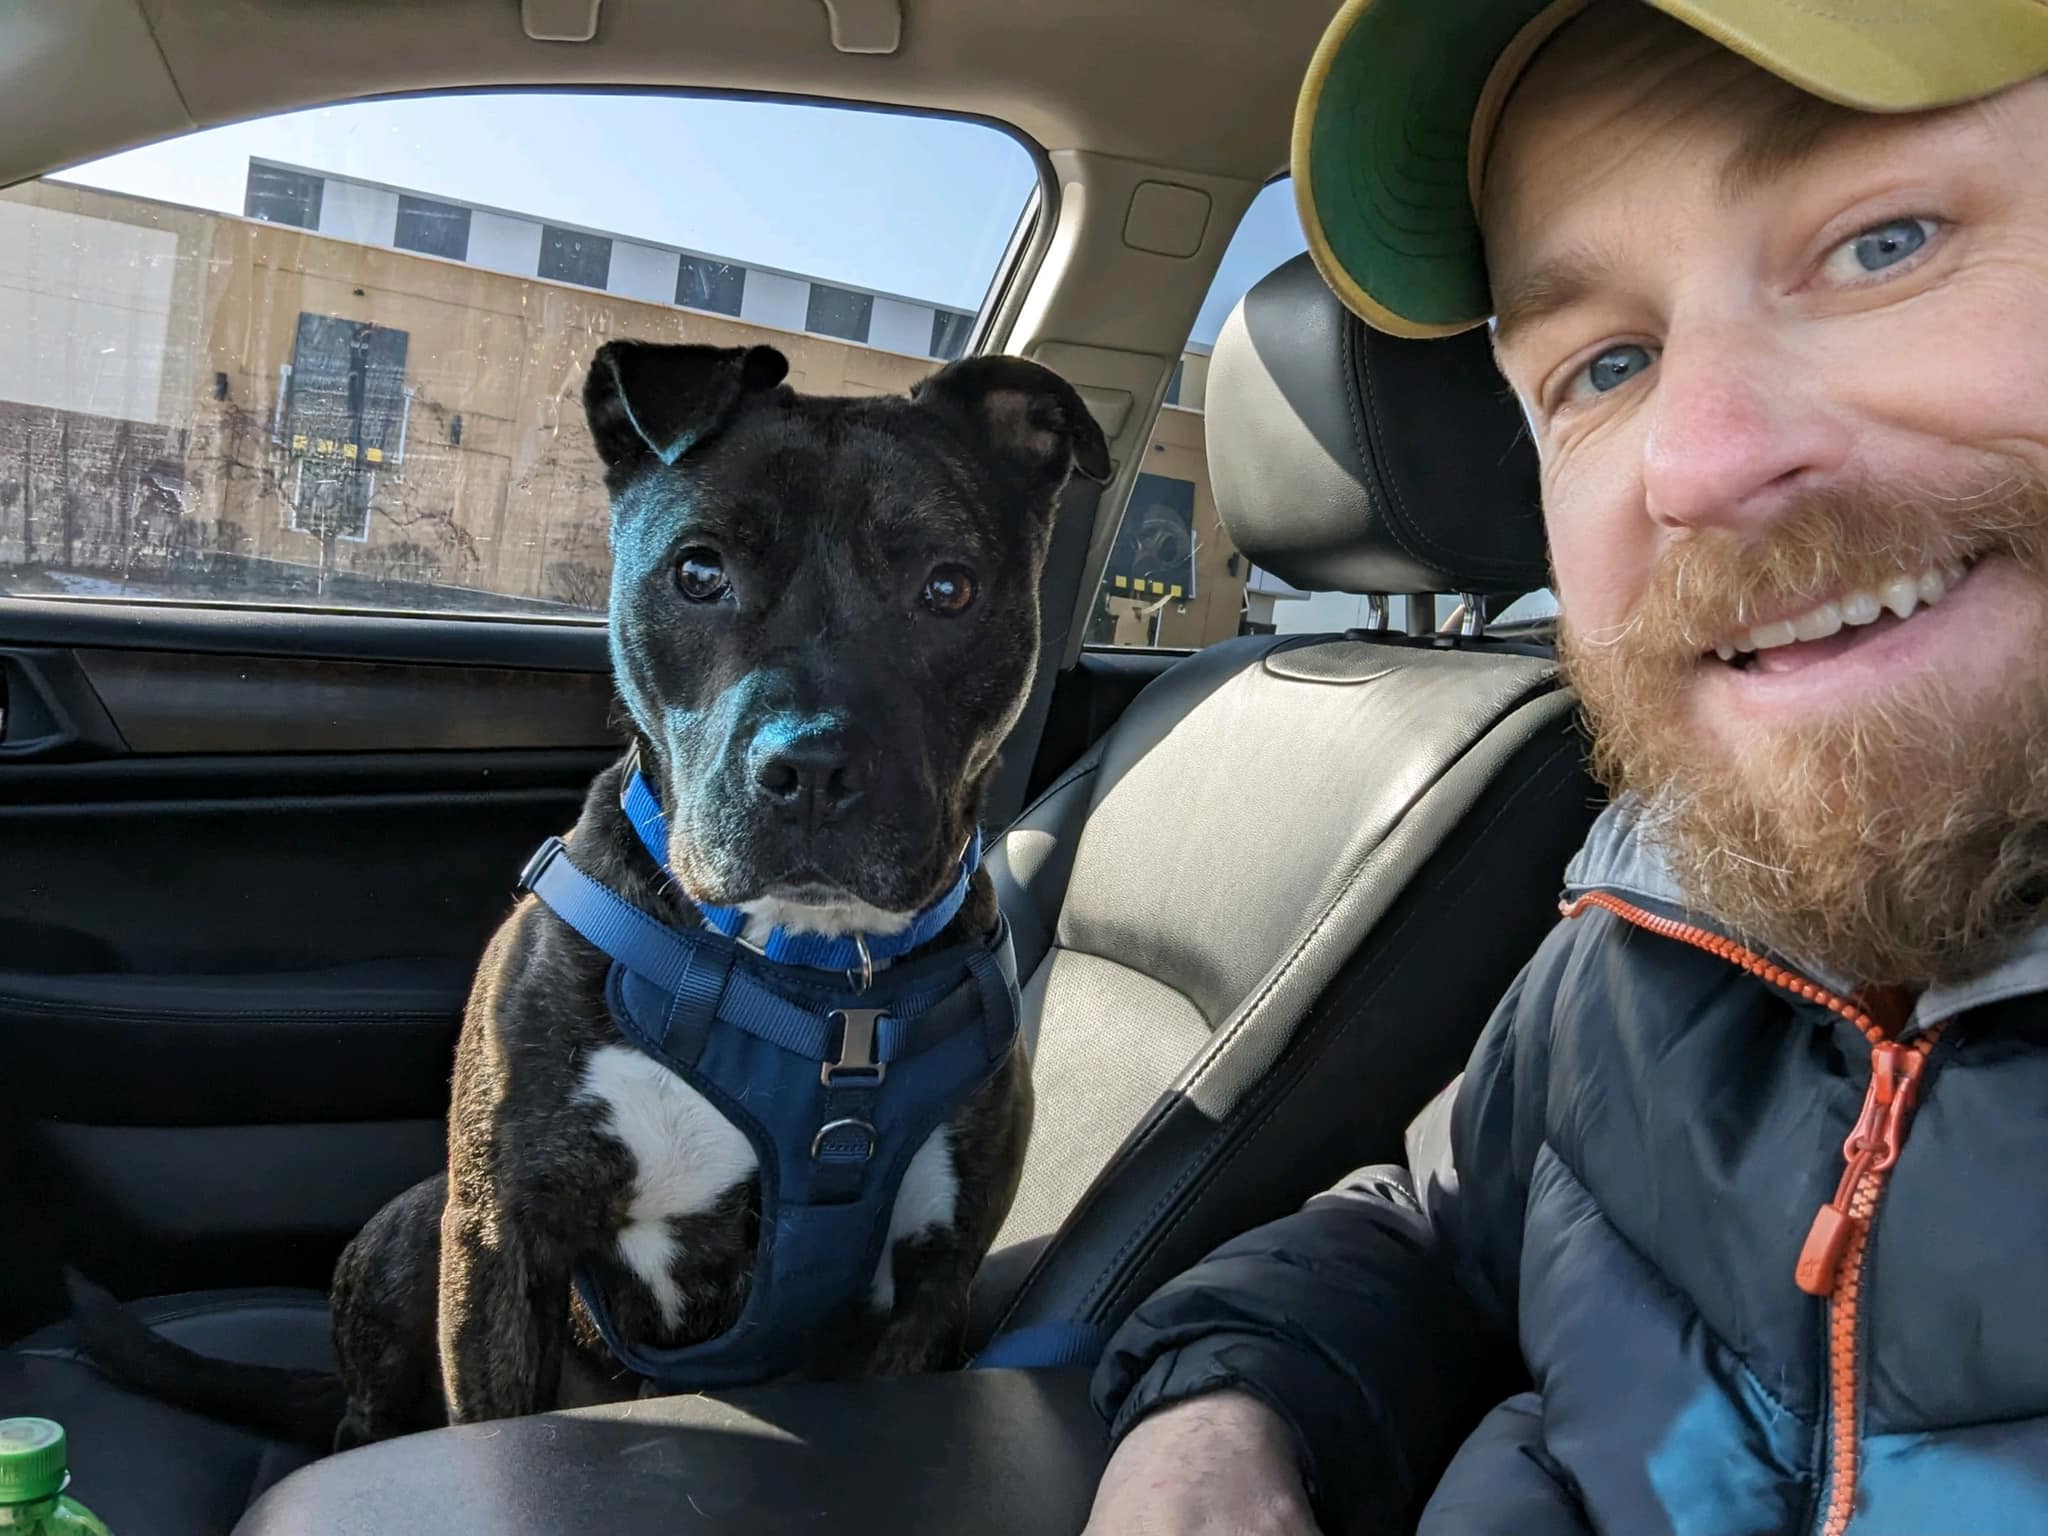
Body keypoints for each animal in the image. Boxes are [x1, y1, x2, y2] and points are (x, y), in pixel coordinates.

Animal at [75, 339, 1105, 1458]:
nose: (812, 768)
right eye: (698, 572)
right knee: (366, 1409)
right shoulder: (498, 1235)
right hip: (412, 1227)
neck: (815, 977)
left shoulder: (927, 1286)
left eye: (947, 587)